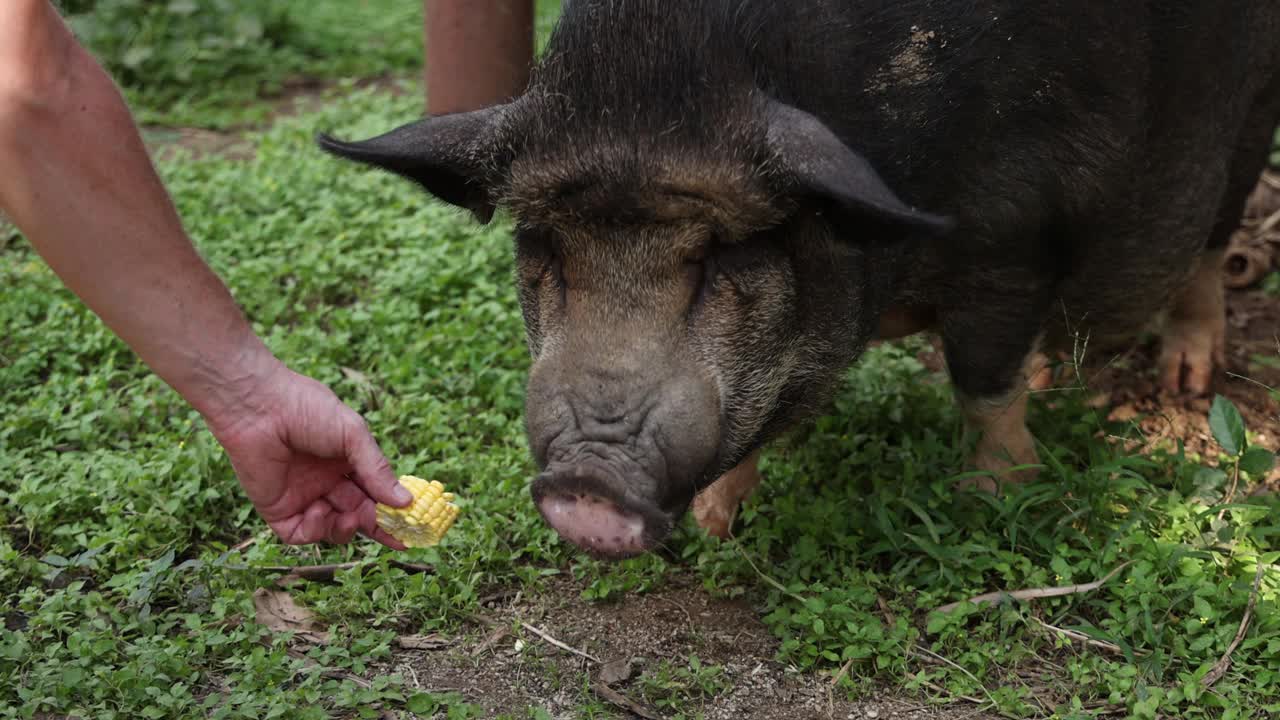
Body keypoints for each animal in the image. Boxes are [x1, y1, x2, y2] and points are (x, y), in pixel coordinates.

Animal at [322, 0, 1280, 558]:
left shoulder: (1013, 232)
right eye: (544, 249)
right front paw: (718, 528)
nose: (588, 480)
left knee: (1209, 245)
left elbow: (981, 382)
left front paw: (996, 499)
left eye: (723, 256)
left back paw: (1185, 381)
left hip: (1245, 132)